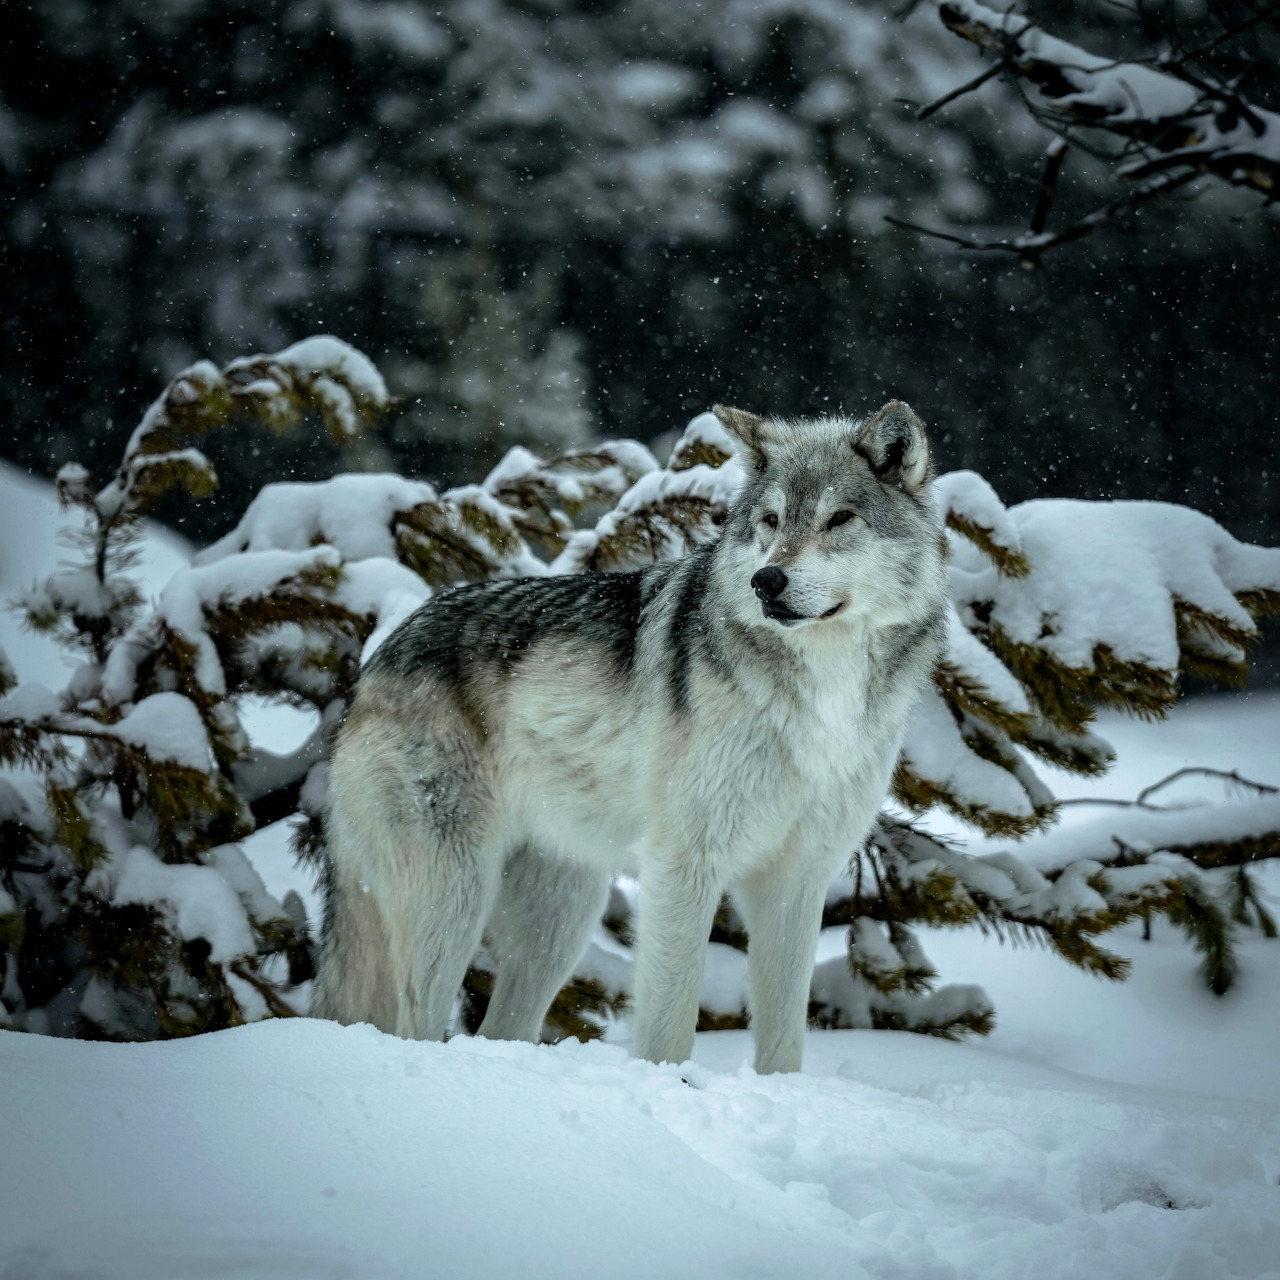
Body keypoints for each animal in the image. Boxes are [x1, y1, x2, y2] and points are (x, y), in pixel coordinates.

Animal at [312, 400, 947, 1073]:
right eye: (771, 520)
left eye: (840, 518)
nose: (767, 580)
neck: (823, 691)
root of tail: (376, 660)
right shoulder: (683, 864)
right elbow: (670, 1027)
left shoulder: (796, 879)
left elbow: (784, 1041)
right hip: (456, 899)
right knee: (417, 1026)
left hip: (561, 916)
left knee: (501, 1028)